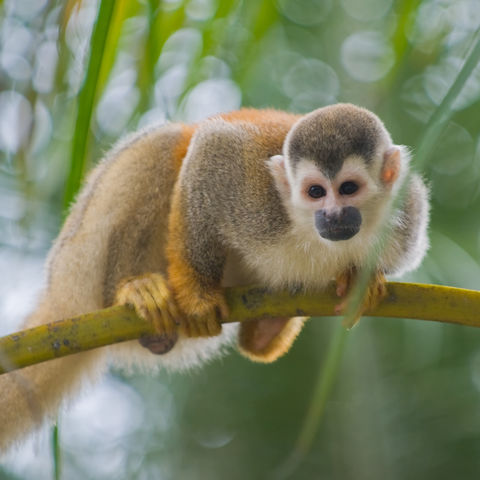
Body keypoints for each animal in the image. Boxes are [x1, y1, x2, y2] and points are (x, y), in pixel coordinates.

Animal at [0, 102, 428, 450]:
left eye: (349, 188)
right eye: (316, 192)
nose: (333, 216)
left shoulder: (408, 215)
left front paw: (360, 281)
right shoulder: (255, 198)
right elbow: (211, 150)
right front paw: (197, 298)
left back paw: (265, 332)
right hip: (80, 252)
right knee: (167, 145)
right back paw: (132, 290)